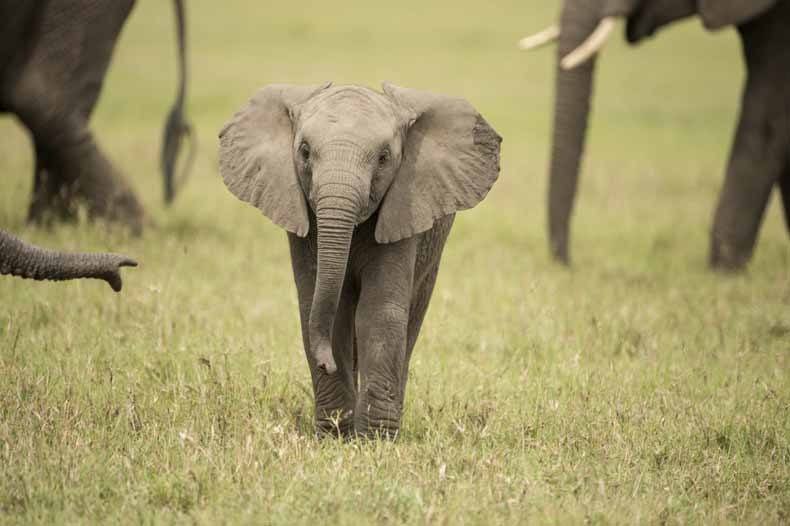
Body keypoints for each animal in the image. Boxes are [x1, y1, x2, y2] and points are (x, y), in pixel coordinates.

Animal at [218, 82, 502, 438]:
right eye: (305, 152)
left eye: (383, 158)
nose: (326, 362)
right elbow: (326, 309)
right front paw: (335, 436)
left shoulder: (403, 210)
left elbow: (378, 313)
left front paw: (375, 440)